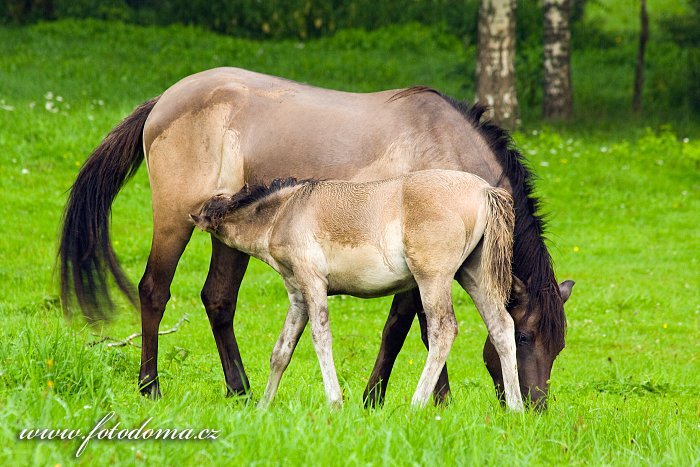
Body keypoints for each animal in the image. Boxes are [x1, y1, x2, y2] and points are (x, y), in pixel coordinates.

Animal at [189, 170, 524, 412]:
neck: (285, 213)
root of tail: (484, 190)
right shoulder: (298, 297)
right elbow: (281, 351)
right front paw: (262, 407)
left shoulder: (313, 284)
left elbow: (321, 339)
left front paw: (334, 402)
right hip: (473, 277)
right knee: (501, 327)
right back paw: (516, 409)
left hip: (433, 280)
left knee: (444, 330)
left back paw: (415, 406)